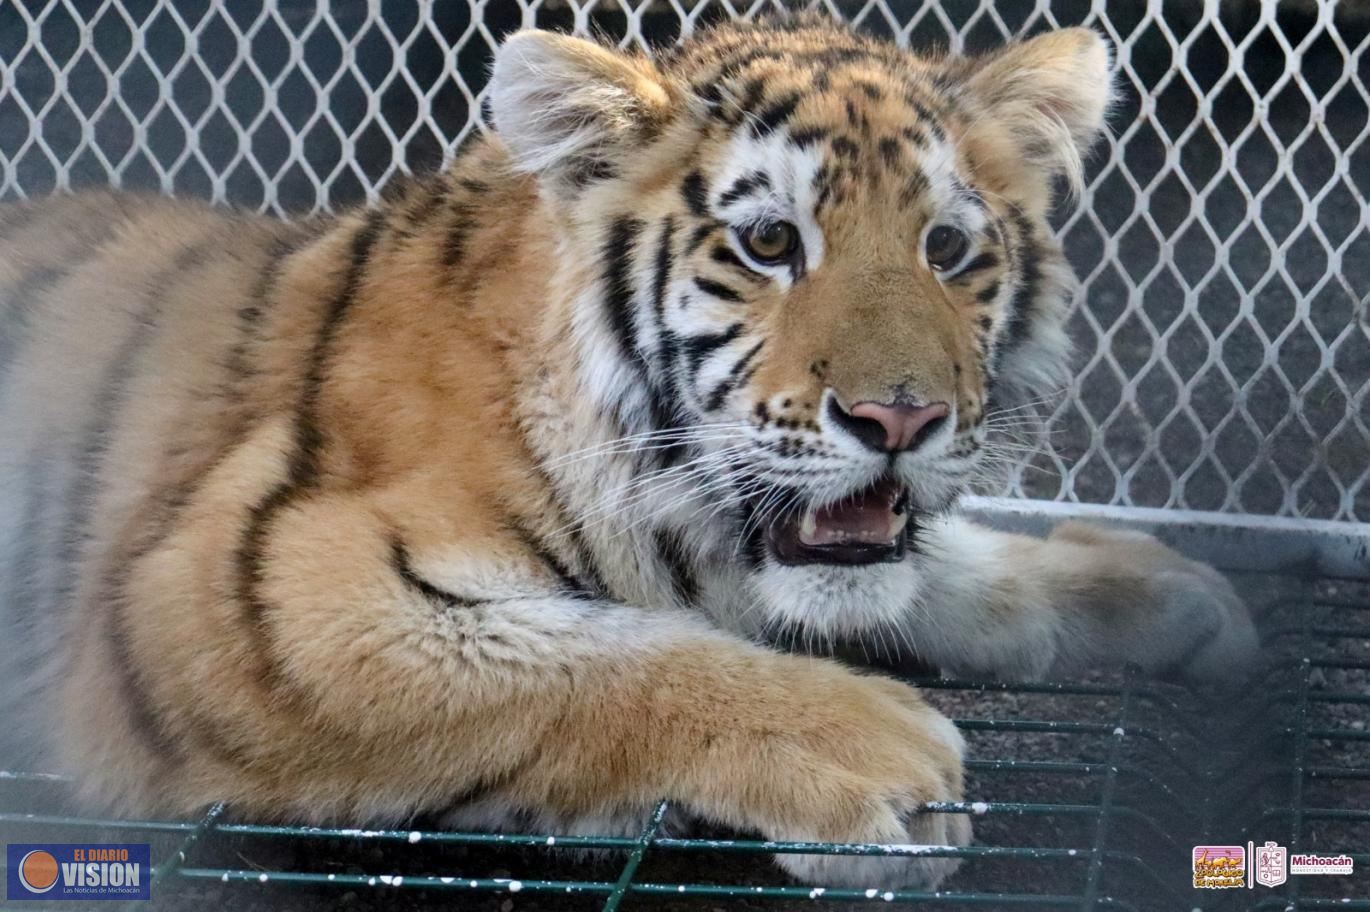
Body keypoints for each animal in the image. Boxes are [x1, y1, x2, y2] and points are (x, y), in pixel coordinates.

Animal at [0, 16, 1254, 887]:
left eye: (946, 250)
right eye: (769, 242)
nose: (898, 421)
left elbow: (936, 565)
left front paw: (1157, 590)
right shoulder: (237, 596)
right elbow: (596, 654)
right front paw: (875, 755)